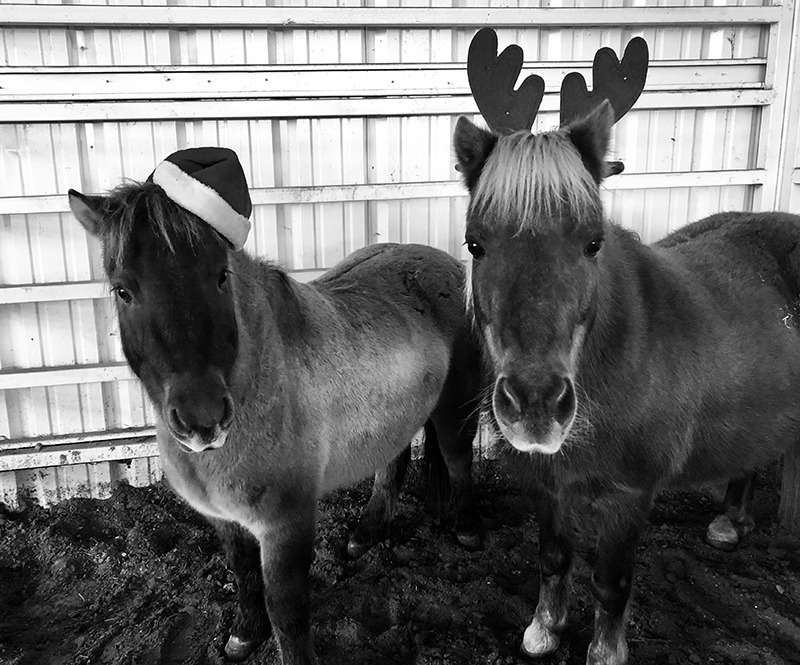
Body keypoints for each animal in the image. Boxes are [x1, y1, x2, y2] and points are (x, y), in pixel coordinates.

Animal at [67, 180, 484, 665]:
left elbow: (286, 609)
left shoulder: (287, 524)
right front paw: (244, 636)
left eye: (221, 276)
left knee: (458, 461)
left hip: (454, 409)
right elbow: (244, 573)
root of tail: (447, 264)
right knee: (392, 463)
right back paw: (366, 534)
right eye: (123, 291)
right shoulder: (226, 520)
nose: (202, 419)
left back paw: (468, 530)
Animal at [453, 101, 800, 665]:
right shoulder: (546, 484)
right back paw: (730, 523)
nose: (536, 405)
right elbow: (553, 559)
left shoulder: (628, 498)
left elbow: (609, 584)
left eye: (593, 242)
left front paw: (604, 653)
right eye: (475, 244)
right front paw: (544, 630)